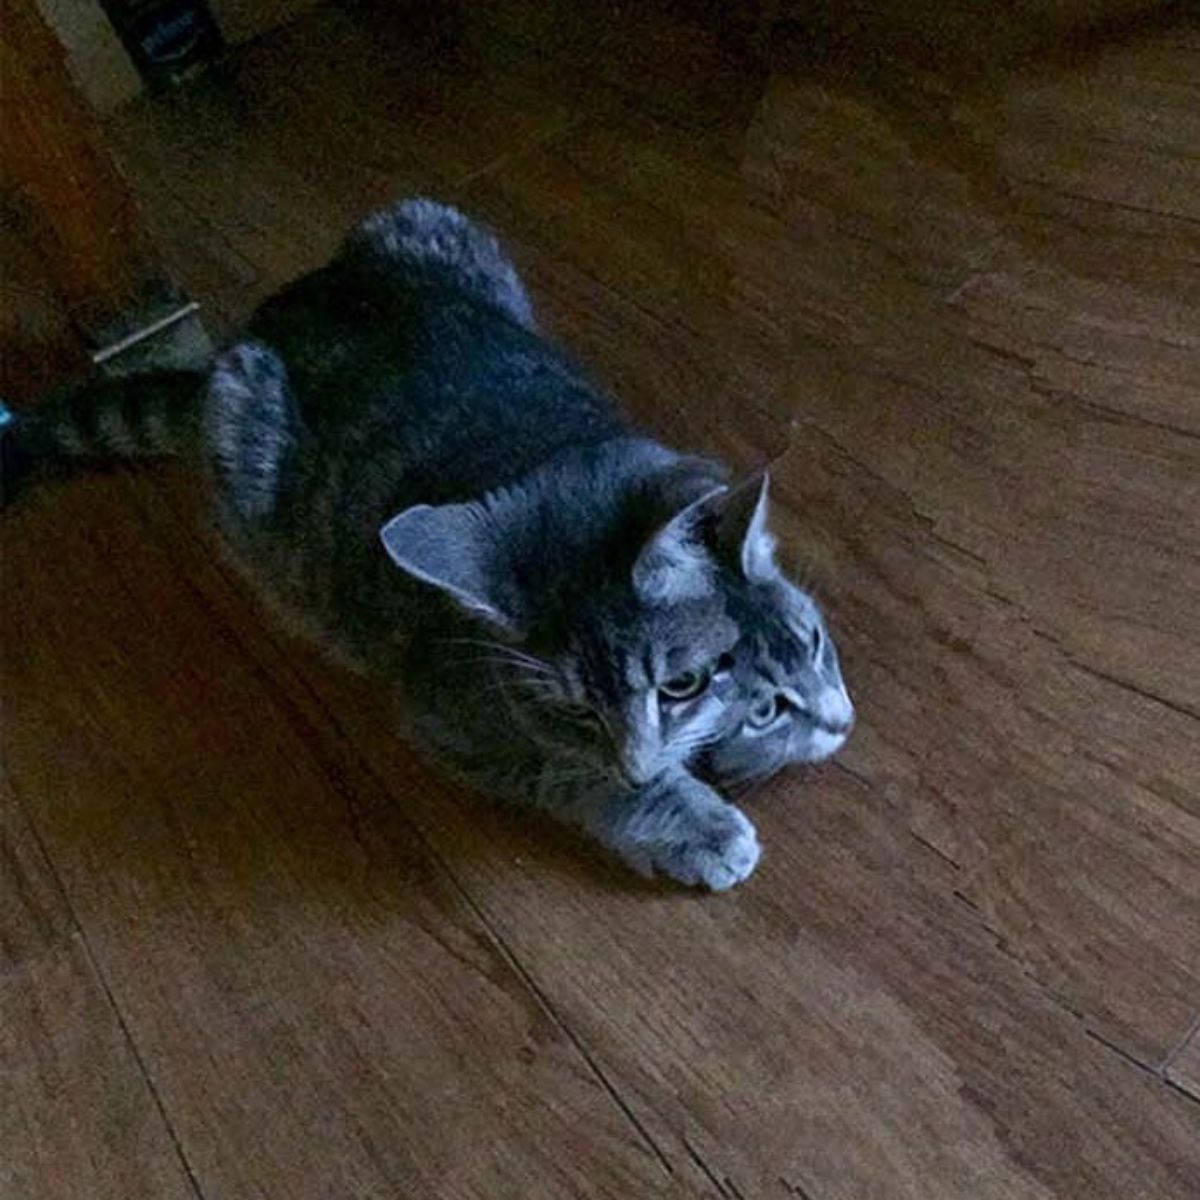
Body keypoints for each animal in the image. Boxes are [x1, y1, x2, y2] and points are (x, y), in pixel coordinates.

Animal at [2, 199, 854, 892]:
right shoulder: (455, 726)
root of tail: (255, 326)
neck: (554, 463)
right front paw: (688, 820)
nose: (837, 722)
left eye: (682, 685)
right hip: (241, 428)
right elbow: (571, 772)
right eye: (580, 712)